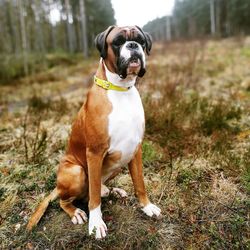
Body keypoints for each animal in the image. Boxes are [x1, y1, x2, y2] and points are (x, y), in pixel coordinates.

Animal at [26, 25, 160, 240]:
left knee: (96, 189)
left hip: (119, 160)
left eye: (141, 41)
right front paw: (96, 224)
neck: (120, 90)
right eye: (118, 42)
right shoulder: (95, 154)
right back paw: (76, 212)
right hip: (76, 171)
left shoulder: (135, 149)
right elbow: (94, 196)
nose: (133, 45)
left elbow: (140, 183)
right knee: (68, 199)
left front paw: (147, 207)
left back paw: (113, 191)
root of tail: (57, 186)